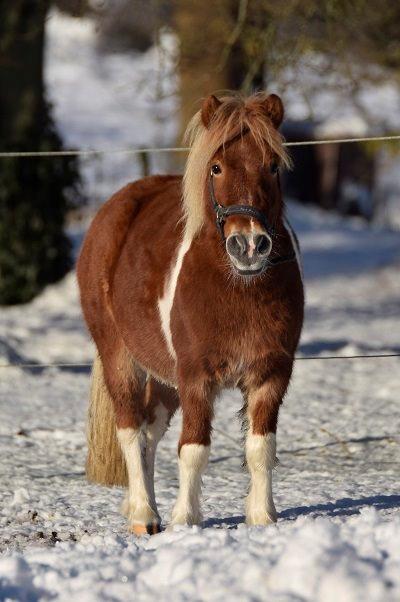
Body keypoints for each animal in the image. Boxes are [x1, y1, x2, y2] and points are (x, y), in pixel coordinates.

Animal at [77, 91, 304, 532]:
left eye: (272, 165)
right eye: (216, 167)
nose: (249, 246)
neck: (236, 286)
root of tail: (115, 206)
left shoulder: (271, 374)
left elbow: (261, 448)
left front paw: (262, 517)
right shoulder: (196, 377)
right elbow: (194, 449)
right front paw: (186, 521)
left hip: (164, 378)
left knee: (149, 434)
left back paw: (140, 505)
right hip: (121, 358)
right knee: (131, 431)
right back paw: (144, 514)